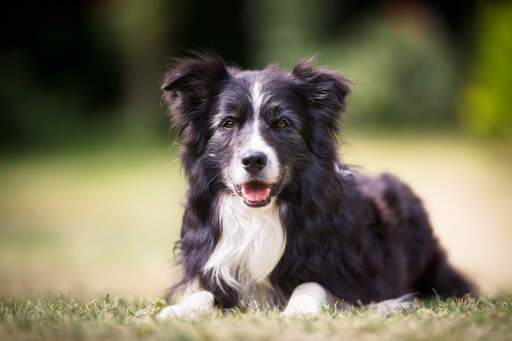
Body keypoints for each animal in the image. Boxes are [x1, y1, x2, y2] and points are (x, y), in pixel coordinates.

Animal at [157, 51, 476, 318]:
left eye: (282, 123)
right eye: (229, 123)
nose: (253, 160)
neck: (259, 215)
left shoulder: (351, 272)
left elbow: (311, 284)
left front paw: (297, 311)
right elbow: (204, 291)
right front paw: (180, 310)